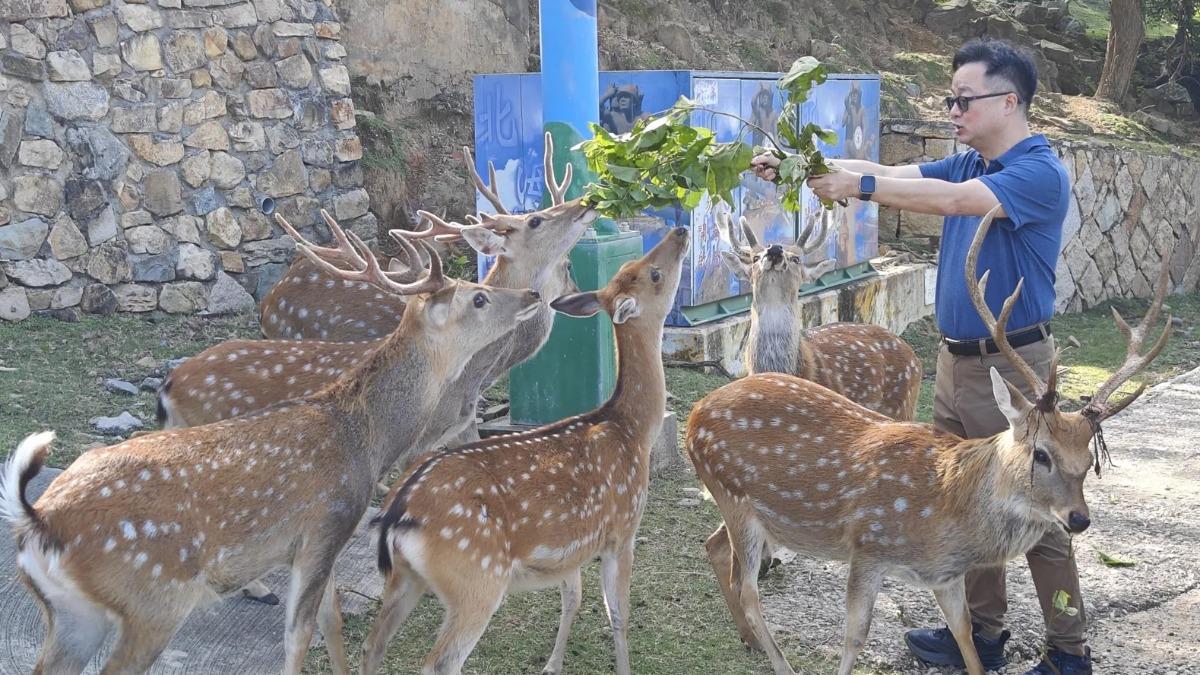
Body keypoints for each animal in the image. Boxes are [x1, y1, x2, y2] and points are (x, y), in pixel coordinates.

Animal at [0, 229, 544, 672]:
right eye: (478, 297)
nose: (533, 293)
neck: (366, 441)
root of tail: (37, 521)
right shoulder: (324, 524)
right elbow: (299, 635)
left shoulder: (320, 540)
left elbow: (331, 622)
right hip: (153, 596)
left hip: (73, 614)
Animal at [357, 224, 696, 672]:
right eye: (654, 275)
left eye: (630, 268)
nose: (680, 229)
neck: (632, 430)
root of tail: (396, 515)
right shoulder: (622, 529)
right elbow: (618, 615)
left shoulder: (573, 543)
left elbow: (572, 598)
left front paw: (553, 663)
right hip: (476, 577)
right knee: (439, 661)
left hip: (404, 579)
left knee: (371, 645)